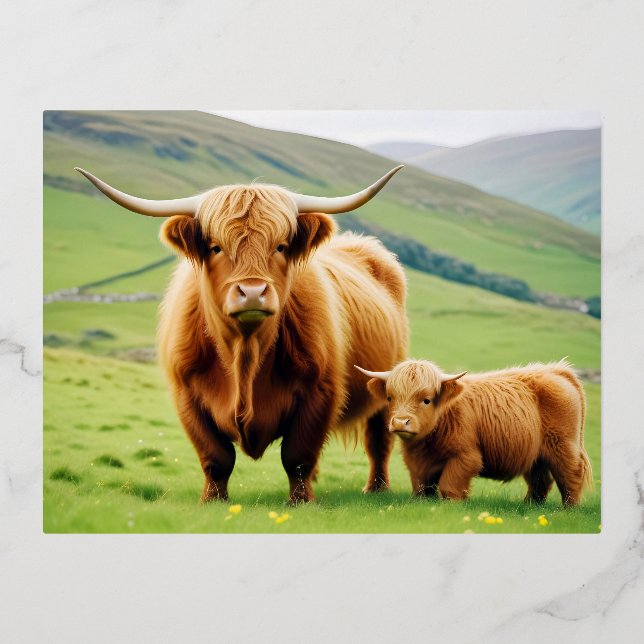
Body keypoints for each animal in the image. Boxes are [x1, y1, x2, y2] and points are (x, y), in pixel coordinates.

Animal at [76, 165, 409, 504]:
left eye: (280, 246)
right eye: (215, 247)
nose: (252, 293)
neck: (245, 355)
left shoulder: (320, 390)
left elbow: (297, 455)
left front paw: (301, 502)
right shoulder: (187, 395)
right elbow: (216, 457)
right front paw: (212, 501)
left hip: (387, 383)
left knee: (378, 440)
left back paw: (376, 488)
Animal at [356, 359, 592, 506]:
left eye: (426, 400)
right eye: (390, 398)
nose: (400, 422)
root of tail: (557, 370)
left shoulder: (466, 457)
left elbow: (449, 485)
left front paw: (452, 504)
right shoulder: (417, 462)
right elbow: (422, 485)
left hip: (563, 446)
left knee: (570, 475)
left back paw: (568, 509)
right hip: (536, 454)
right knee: (540, 480)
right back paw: (529, 506)